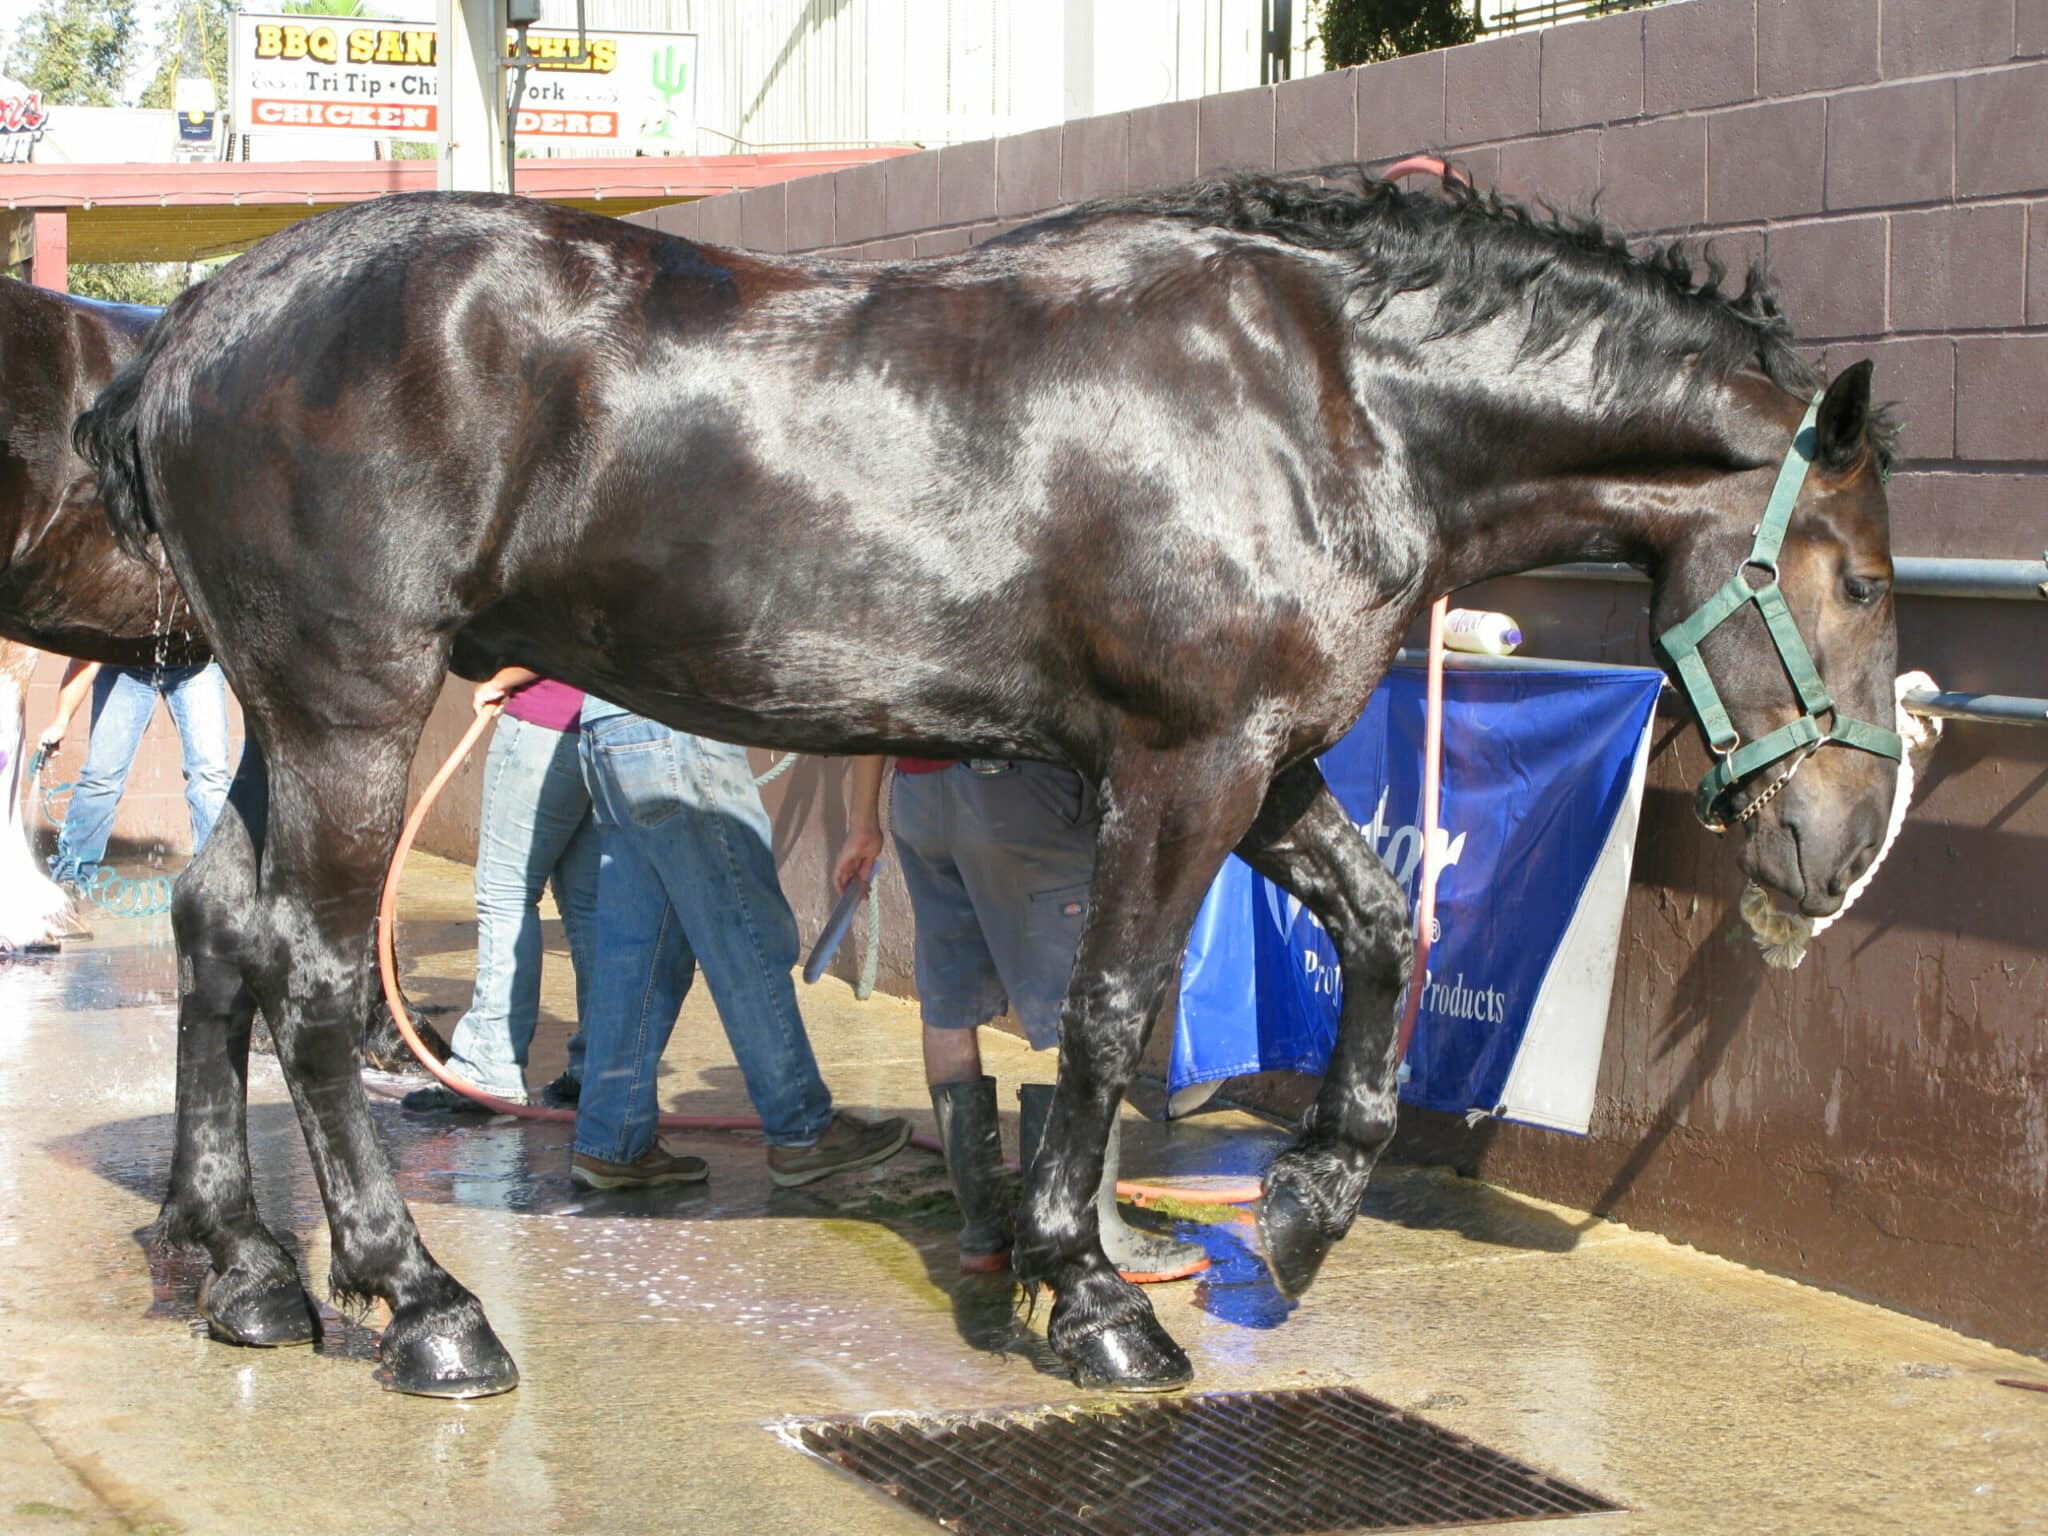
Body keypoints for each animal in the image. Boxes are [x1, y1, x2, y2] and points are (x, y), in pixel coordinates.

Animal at [75, 174, 1900, 1400]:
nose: (1833, 851)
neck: (1323, 398)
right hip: (354, 709)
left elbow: (1387, 930)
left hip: (288, 716)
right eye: (1861, 578)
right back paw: (422, 1304)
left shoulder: (1266, 761)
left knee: (216, 927)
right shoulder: (1182, 766)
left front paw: (1303, 1207)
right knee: (315, 978)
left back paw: (248, 1271)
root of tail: (190, 334)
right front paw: (1091, 1294)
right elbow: (1106, 1008)